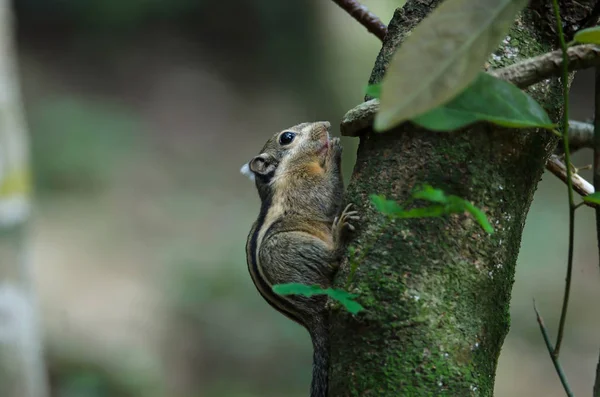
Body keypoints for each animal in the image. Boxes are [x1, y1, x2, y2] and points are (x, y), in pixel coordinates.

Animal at [241, 120, 358, 396]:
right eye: (287, 138)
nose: (326, 124)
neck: (284, 173)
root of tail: (308, 314)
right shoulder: (307, 186)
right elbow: (329, 194)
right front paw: (334, 150)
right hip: (291, 249)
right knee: (331, 259)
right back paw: (339, 235)